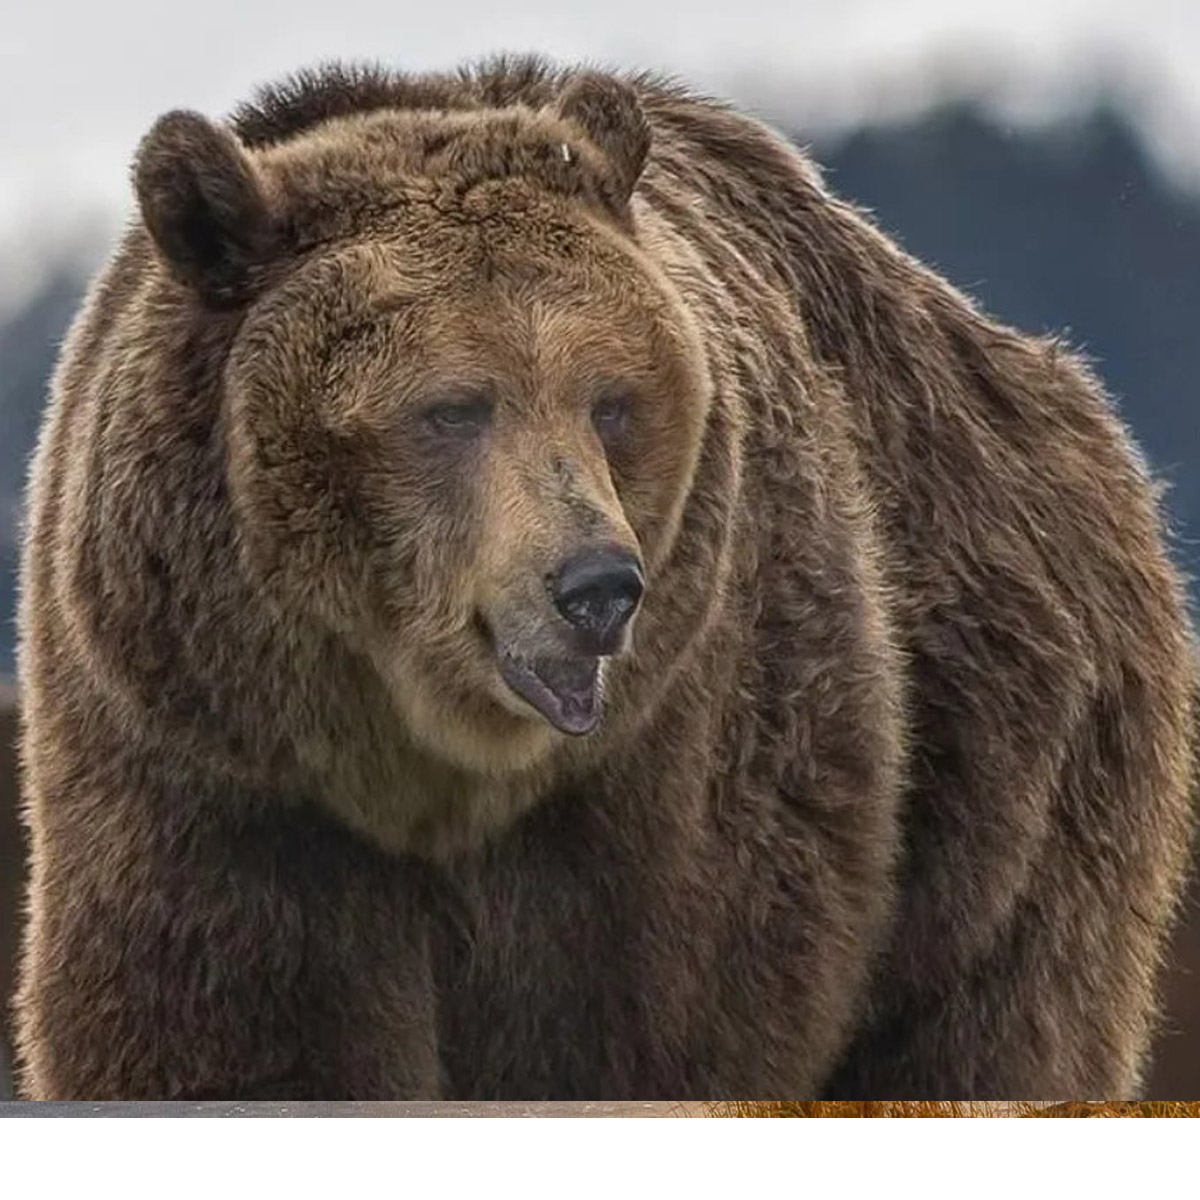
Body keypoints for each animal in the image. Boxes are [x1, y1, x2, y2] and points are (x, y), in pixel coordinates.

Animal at [11, 56, 1200, 1099]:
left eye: (611, 399)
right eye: (451, 407)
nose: (596, 585)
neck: (432, 777)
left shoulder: (668, 778)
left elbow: (645, 1027)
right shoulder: (218, 772)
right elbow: (237, 1034)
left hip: (1011, 761)